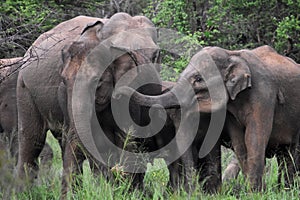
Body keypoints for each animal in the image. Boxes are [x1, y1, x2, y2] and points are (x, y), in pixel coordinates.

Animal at [15, 12, 162, 195]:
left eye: (156, 56)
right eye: (63, 80)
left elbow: (126, 137)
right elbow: (76, 138)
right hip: (24, 90)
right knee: (32, 140)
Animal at [115, 45, 300, 191]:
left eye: (198, 79)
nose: (116, 94)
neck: (231, 54)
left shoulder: (264, 94)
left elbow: (254, 137)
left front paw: (254, 193)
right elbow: (239, 142)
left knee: (292, 154)